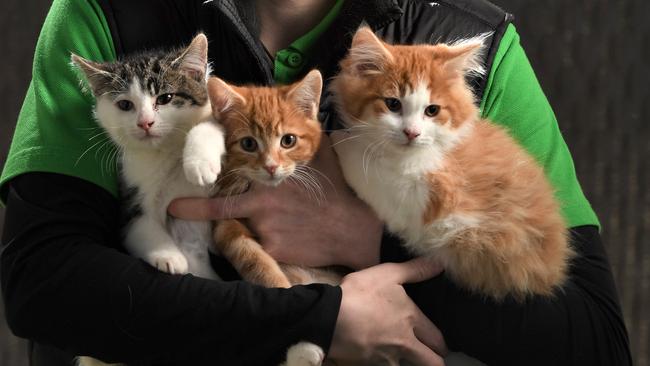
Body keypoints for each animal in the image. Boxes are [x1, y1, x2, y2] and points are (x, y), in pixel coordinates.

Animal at [72, 35, 225, 366]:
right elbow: (139, 225)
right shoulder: (130, 195)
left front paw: (199, 163)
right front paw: (170, 257)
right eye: (125, 105)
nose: (145, 123)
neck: (164, 152)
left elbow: (212, 125)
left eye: (165, 98)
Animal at [332, 26, 568, 300]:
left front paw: (335, 139)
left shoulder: (430, 201)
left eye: (432, 110)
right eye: (393, 104)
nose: (412, 133)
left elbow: (366, 169)